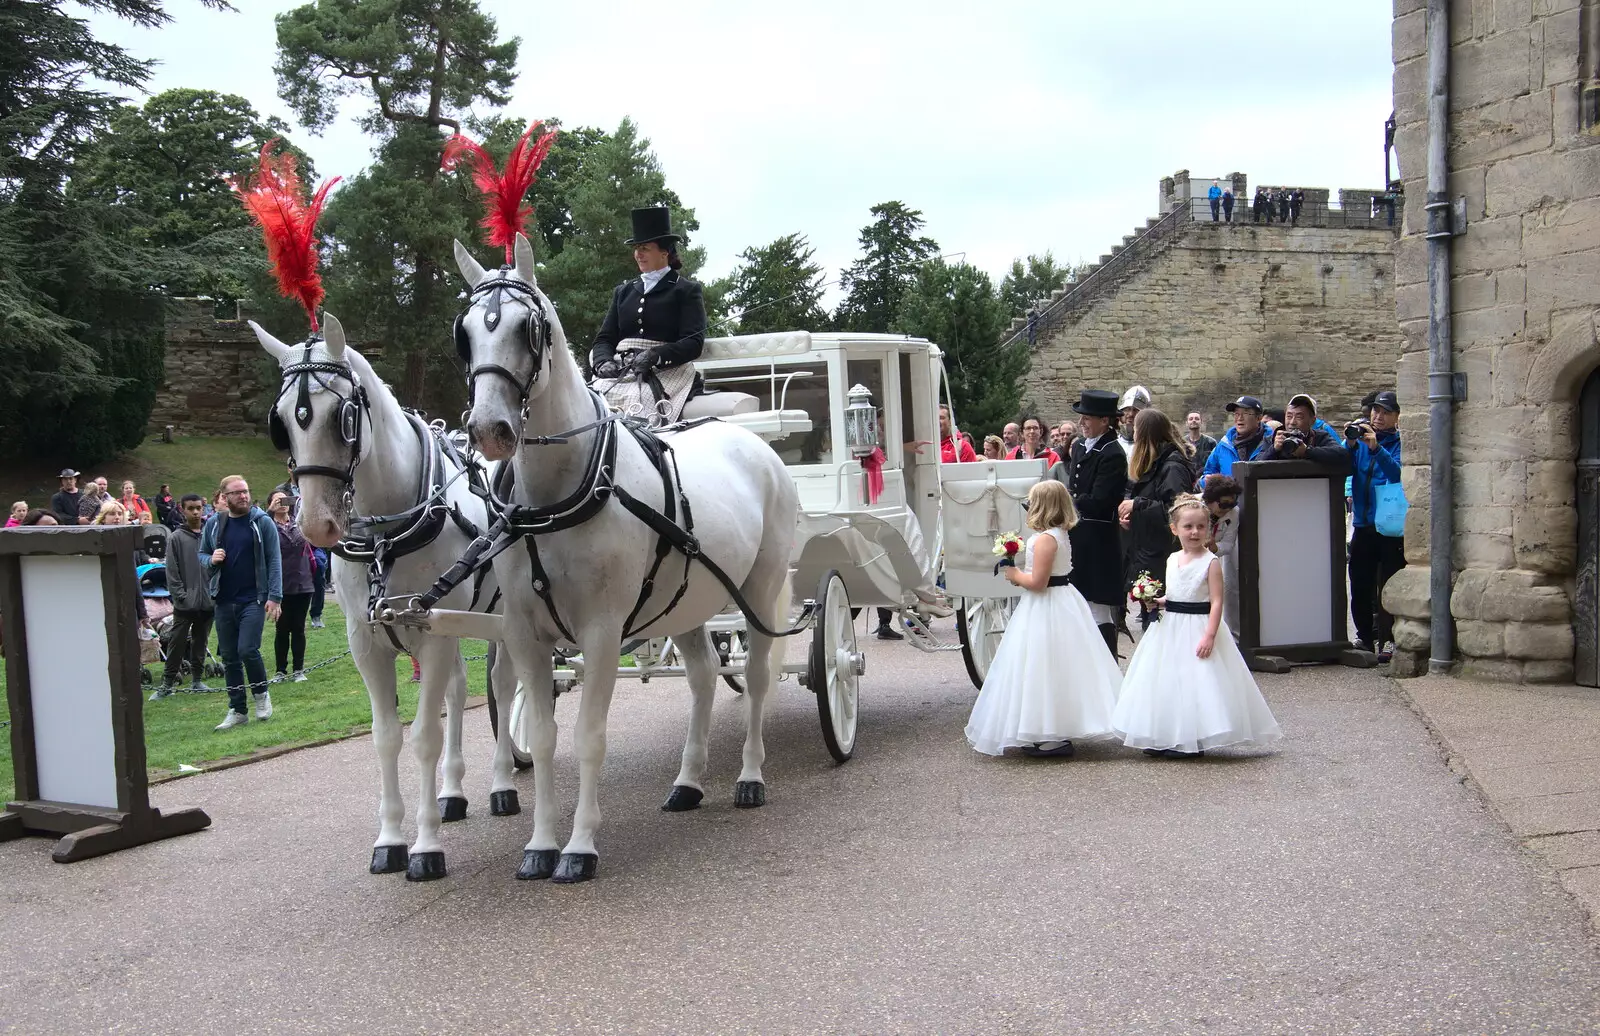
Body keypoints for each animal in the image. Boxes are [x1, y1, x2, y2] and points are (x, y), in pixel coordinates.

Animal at [251, 311, 518, 876]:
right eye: (281, 421)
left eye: (344, 416)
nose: (316, 526)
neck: (386, 538)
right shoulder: (367, 642)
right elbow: (387, 736)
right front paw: (392, 838)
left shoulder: (432, 635)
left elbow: (423, 736)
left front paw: (426, 847)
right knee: (459, 689)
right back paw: (452, 793)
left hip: (503, 619)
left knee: (503, 687)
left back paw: (503, 782)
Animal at [454, 235, 796, 882]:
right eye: (465, 331)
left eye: (528, 328)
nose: (489, 430)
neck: (556, 496)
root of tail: (752, 440)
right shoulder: (526, 633)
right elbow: (543, 734)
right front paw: (540, 845)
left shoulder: (602, 631)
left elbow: (589, 736)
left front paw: (580, 847)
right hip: (687, 602)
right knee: (703, 678)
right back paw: (688, 783)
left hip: (762, 594)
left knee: (761, 678)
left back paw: (750, 776)